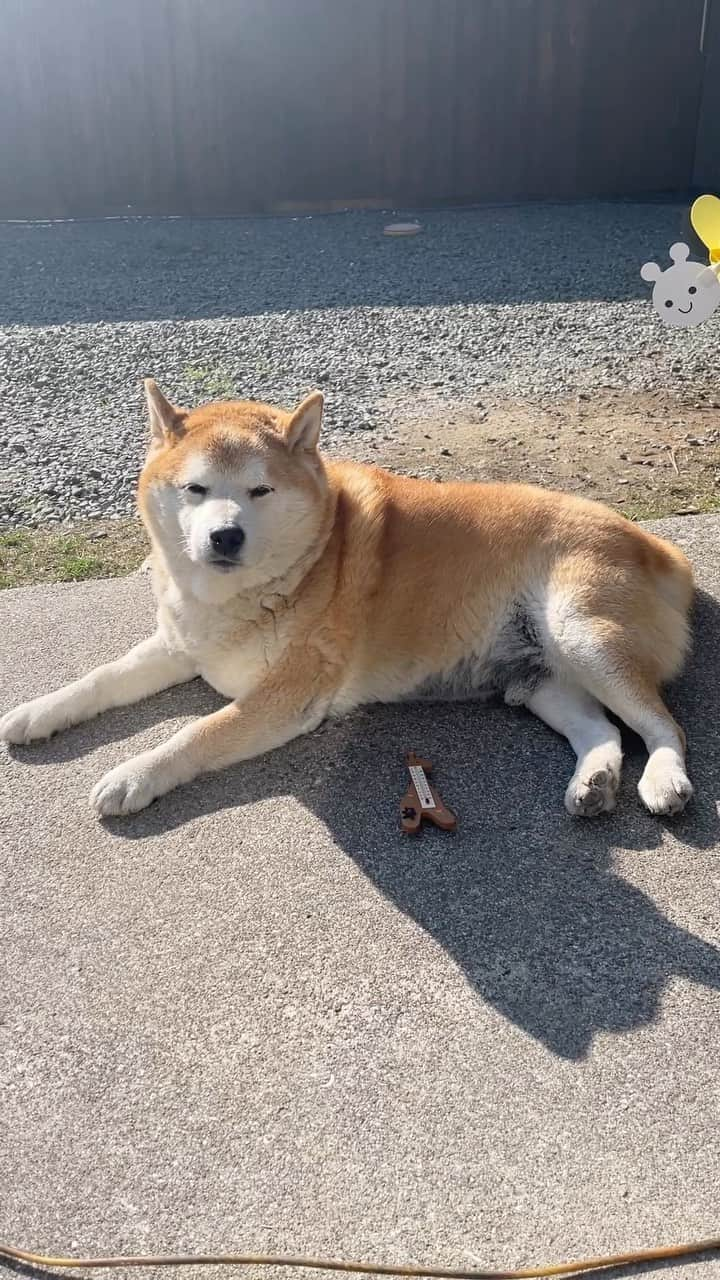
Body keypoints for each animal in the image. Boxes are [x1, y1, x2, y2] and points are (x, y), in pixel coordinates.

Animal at [0, 381, 696, 819]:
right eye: (195, 489)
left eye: (259, 490)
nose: (224, 535)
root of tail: (654, 542)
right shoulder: (180, 644)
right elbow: (98, 680)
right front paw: (38, 712)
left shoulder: (287, 696)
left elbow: (196, 733)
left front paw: (133, 775)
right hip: (536, 679)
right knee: (602, 731)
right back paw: (595, 780)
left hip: (579, 630)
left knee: (663, 725)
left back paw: (663, 777)